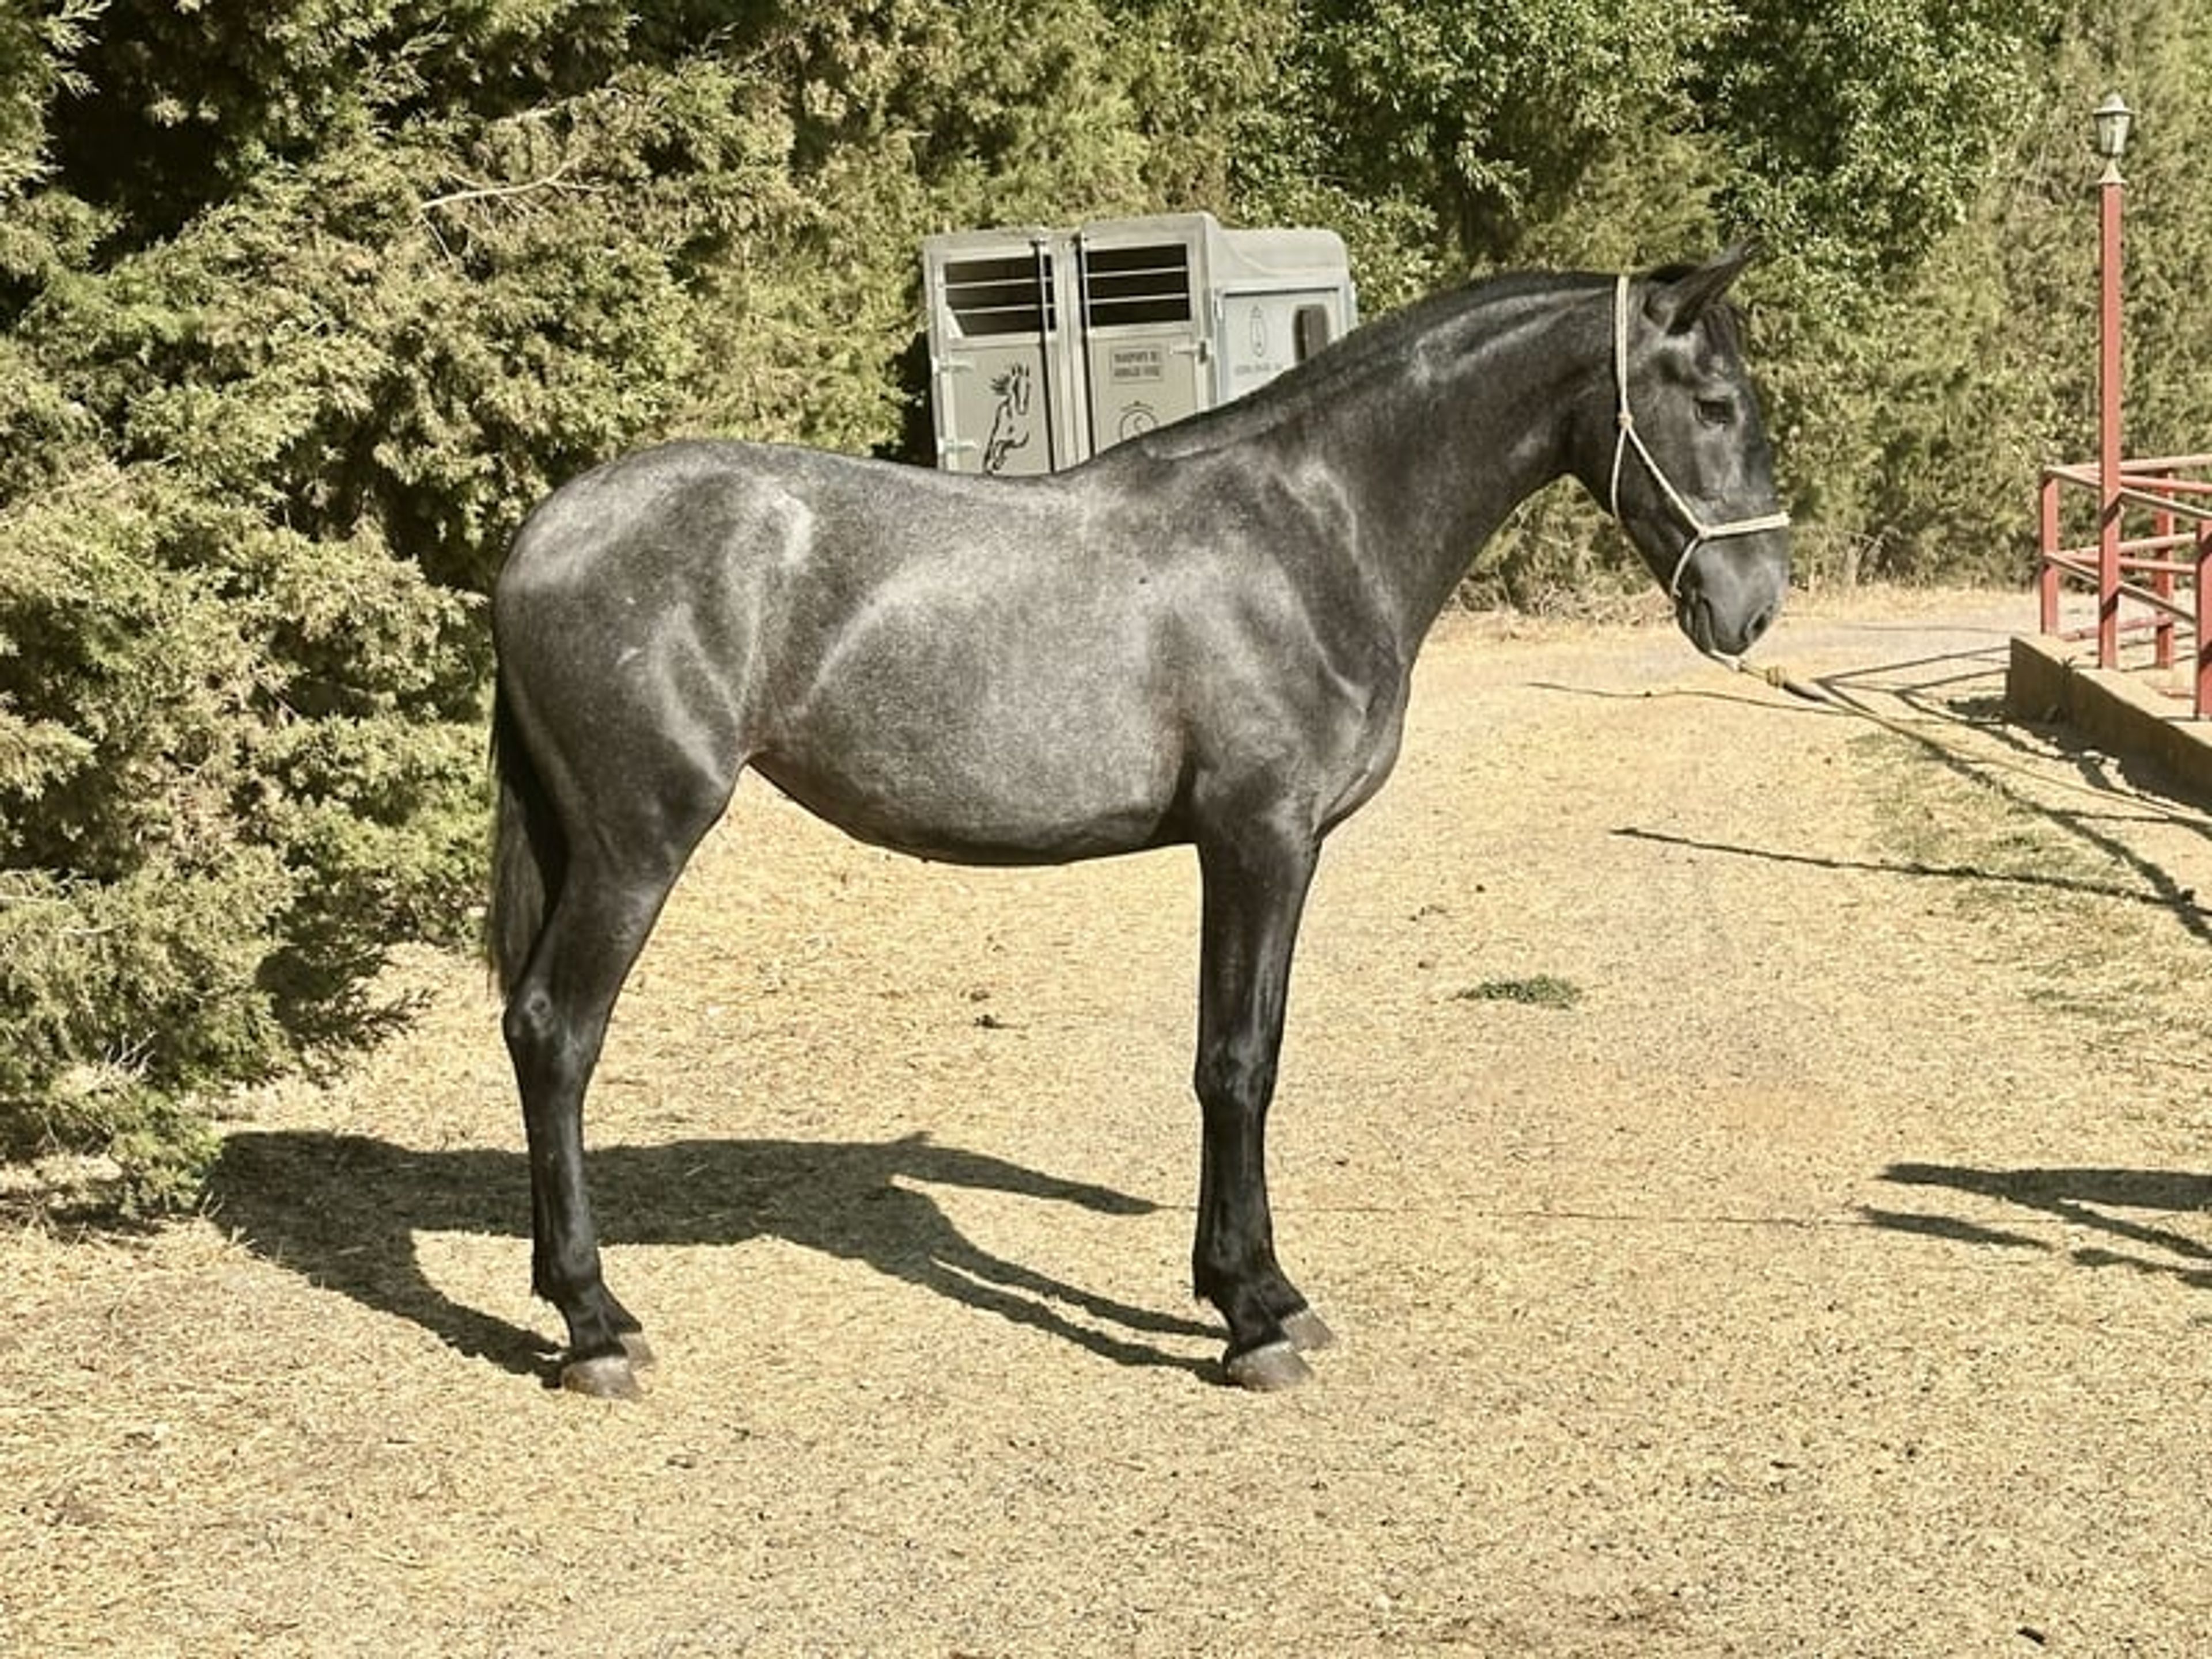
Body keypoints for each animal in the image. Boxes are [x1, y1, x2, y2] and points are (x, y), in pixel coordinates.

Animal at [488, 246, 1792, 1397]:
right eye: (1715, 403)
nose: (1756, 607)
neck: (1313, 531)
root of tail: (543, 532)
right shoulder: (1260, 839)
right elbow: (1239, 1064)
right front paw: (1253, 1316)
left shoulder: (1263, 848)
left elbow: (1246, 1052)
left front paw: (1256, 1294)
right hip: (637, 845)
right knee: (557, 1034)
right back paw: (596, 1325)